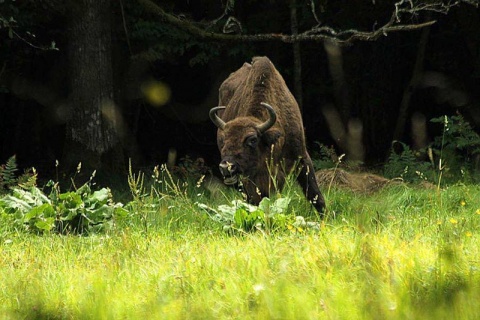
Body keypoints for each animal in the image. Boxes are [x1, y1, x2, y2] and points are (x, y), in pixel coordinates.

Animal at [210, 57, 326, 215]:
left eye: (252, 140)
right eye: (223, 141)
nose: (226, 167)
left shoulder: (301, 157)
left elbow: (314, 194)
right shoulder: (252, 179)